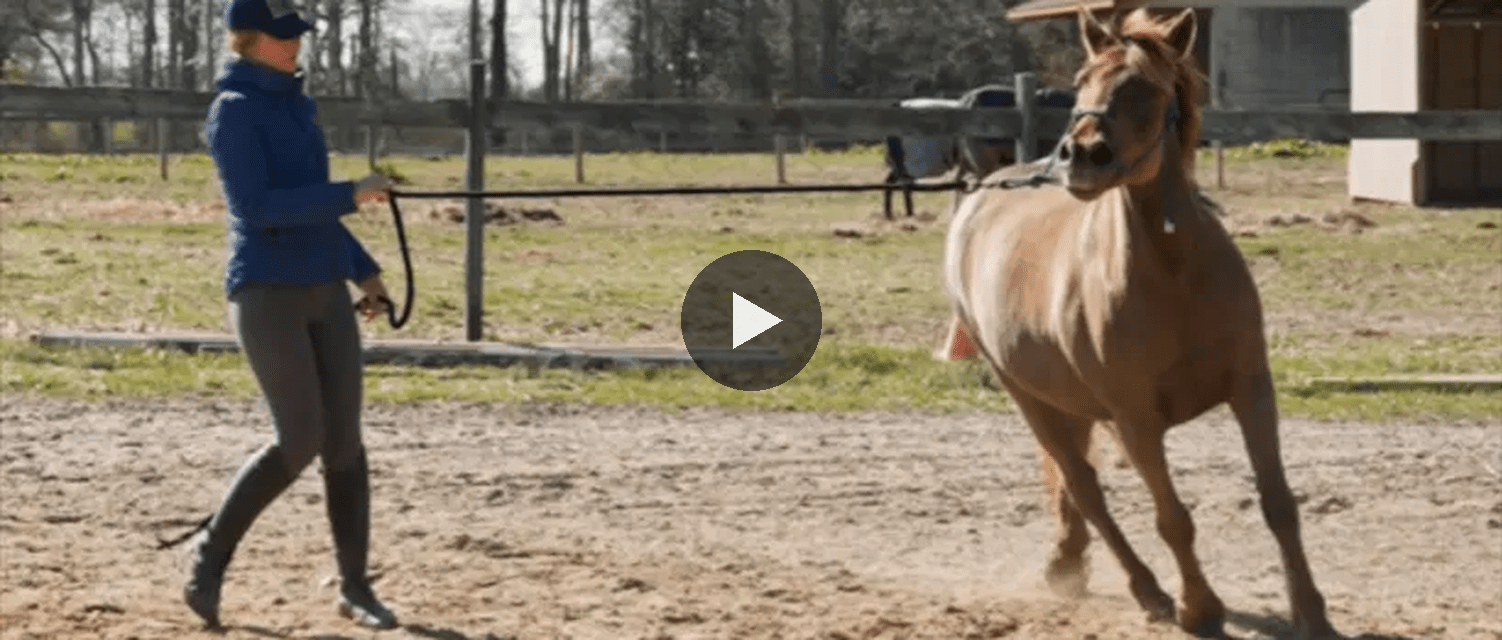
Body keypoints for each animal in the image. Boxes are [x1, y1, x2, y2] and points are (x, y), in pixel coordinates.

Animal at [938, 8, 1337, 638]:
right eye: (1083, 81)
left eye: (1146, 88)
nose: (1082, 155)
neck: (1174, 275)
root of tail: (980, 198)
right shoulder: (1136, 421)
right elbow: (1173, 518)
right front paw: (1200, 608)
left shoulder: (1252, 390)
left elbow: (1278, 503)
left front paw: (1311, 611)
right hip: (1026, 395)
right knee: (1085, 487)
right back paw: (1146, 589)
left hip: (1066, 400)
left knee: (1074, 486)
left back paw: (1068, 562)